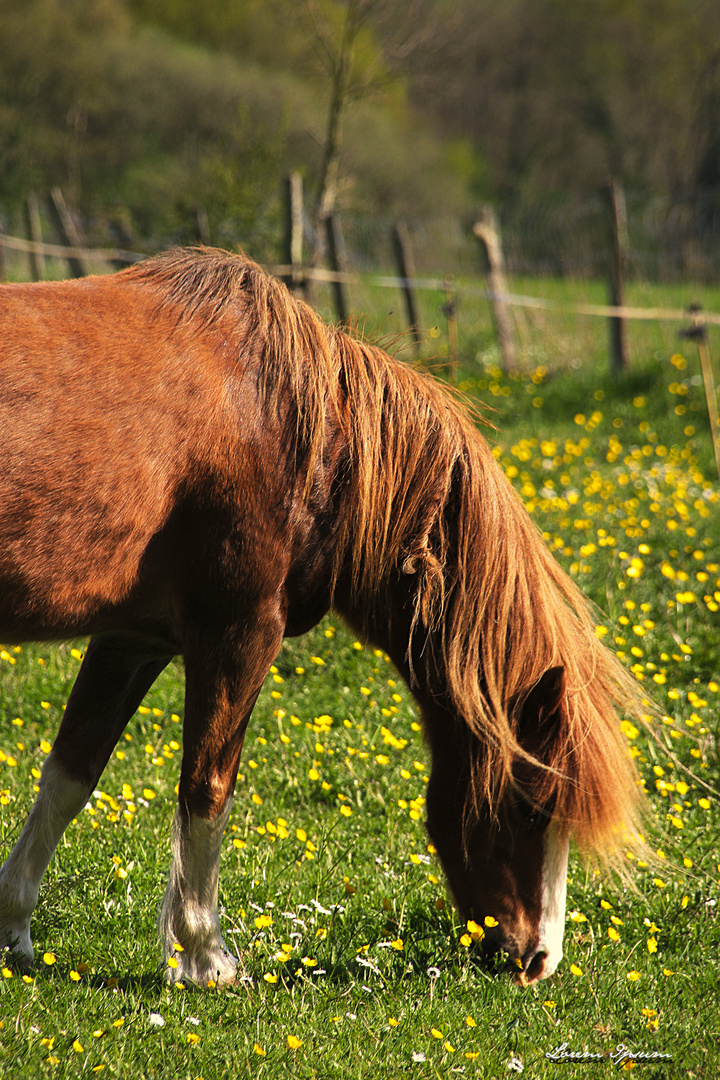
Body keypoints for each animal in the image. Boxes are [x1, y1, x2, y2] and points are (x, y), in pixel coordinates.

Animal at [0, 247, 643, 989]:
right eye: (532, 805)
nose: (538, 960)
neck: (304, 431)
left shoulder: (131, 638)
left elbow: (69, 776)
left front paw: (14, 928)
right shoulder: (240, 631)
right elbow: (207, 790)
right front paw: (205, 956)